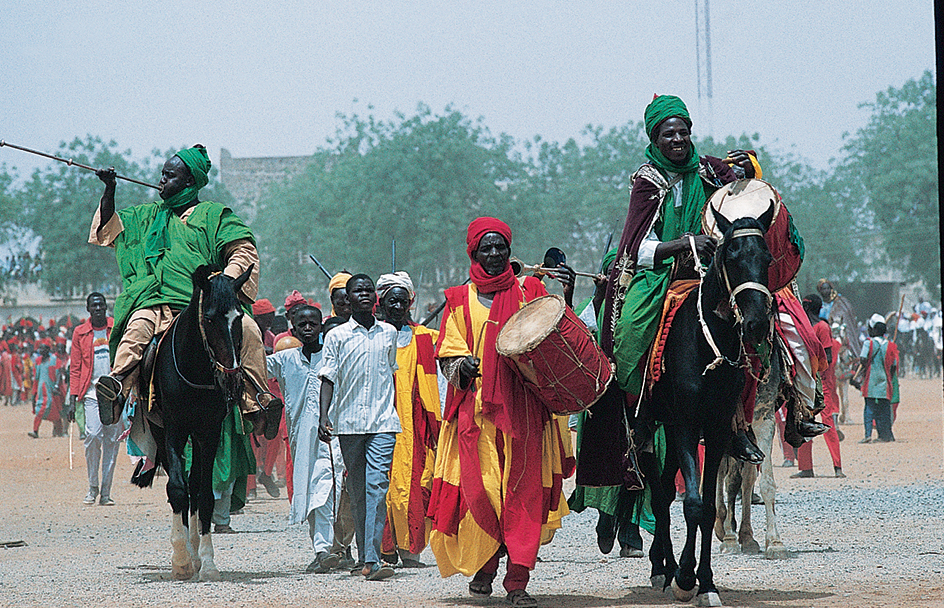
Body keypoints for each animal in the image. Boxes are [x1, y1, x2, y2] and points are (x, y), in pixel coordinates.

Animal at [131, 264, 254, 580]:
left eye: (239, 317)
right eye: (209, 318)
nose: (231, 375)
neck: (195, 369)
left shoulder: (209, 432)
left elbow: (205, 494)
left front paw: (206, 562)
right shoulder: (174, 430)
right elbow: (176, 488)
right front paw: (181, 559)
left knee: (196, 485)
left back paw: (196, 550)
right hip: (160, 431)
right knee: (181, 487)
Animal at [636, 205, 776, 608]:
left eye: (767, 258)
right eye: (731, 256)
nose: (756, 323)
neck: (705, 341)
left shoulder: (715, 427)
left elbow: (709, 506)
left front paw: (707, 583)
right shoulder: (685, 423)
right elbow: (694, 503)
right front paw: (685, 579)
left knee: (666, 490)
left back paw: (666, 564)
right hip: (649, 427)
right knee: (659, 491)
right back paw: (662, 569)